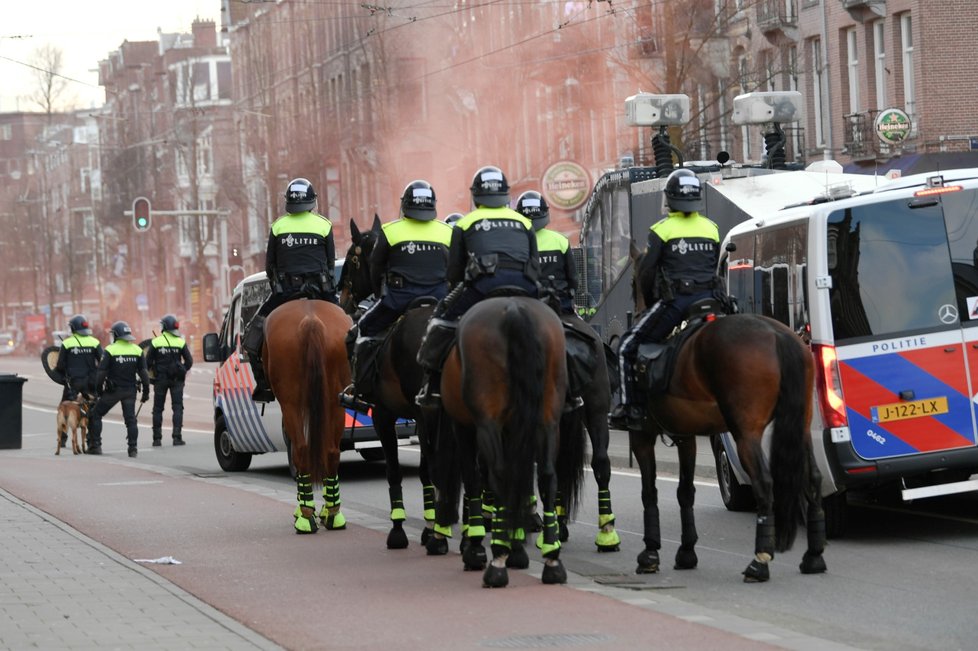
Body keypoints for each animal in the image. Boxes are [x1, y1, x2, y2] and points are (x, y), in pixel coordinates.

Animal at [264, 300, 350, 536]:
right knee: (331, 451)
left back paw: (304, 517)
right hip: (335, 401)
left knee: (301, 450)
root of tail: (311, 320)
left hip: (291, 404)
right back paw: (333, 514)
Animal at [438, 298, 576, 588]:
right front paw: (517, 546)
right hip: (548, 419)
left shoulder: (463, 427)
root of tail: (514, 307)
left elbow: (475, 480)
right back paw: (552, 559)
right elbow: (520, 479)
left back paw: (497, 563)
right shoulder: (515, 428)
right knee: (546, 476)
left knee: (499, 474)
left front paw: (476, 548)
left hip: (486, 423)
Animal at [624, 248, 824, 580]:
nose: (638, 308)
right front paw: (686, 551)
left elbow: (649, 491)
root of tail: (777, 334)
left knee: (764, 484)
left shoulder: (642, 435)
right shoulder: (686, 437)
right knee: (812, 478)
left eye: (633, 283)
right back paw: (813, 556)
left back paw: (760, 561)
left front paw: (650, 553)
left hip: (746, 435)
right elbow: (685, 492)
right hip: (802, 428)